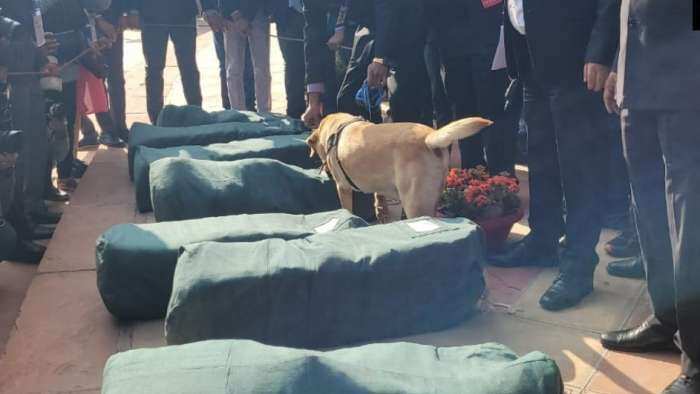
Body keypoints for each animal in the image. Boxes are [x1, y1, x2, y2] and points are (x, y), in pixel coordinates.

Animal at [306, 112, 492, 222]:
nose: (327, 173)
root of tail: (430, 137)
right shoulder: (391, 198)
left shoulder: (342, 188)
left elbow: (347, 209)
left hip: (415, 204)